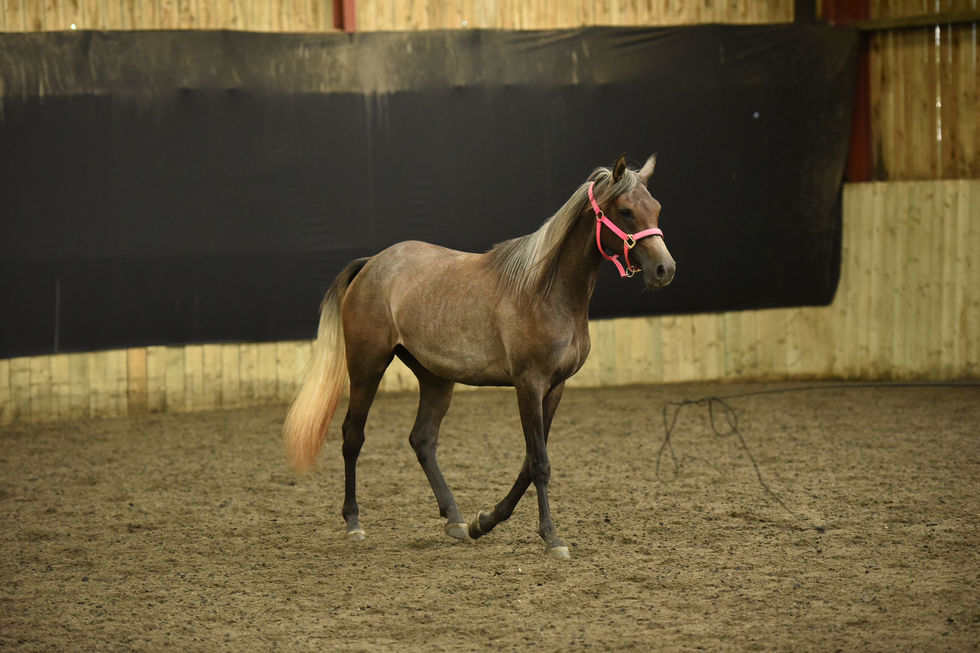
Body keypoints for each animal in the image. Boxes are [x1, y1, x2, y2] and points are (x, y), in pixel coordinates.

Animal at [282, 154, 675, 558]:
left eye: (656, 208)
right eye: (626, 211)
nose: (665, 269)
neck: (544, 291)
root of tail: (372, 263)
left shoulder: (556, 387)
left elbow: (528, 463)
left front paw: (483, 522)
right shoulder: (528, 385)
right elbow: (539, 462)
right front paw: (552, 537)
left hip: (435, 377)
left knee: (422, 440)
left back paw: (456, 519)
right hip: (367, 366)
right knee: (353, 436)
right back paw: (354, 523)